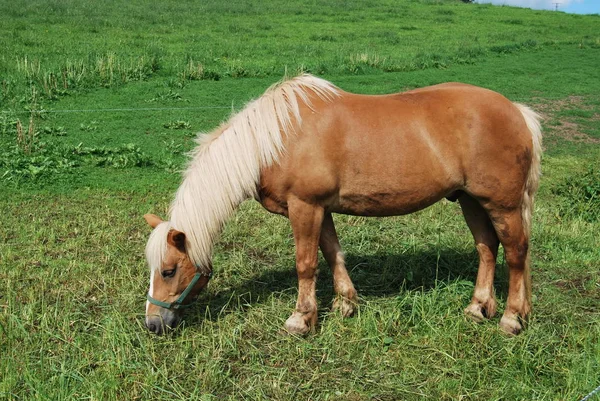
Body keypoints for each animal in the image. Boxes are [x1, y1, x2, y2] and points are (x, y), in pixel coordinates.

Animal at [143, 73, 540, 336]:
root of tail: (518, 111)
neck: (274, 140)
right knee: (487, 248)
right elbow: (332, 252)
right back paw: (478, 308)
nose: (152, 323)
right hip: (471, 201)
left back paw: (511, 318)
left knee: (516, 253)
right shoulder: (321, 208)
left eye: (168, 270)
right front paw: (346, 304)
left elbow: (306, 263)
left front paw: (301, 319)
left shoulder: (304, 206)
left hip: (502, 205)